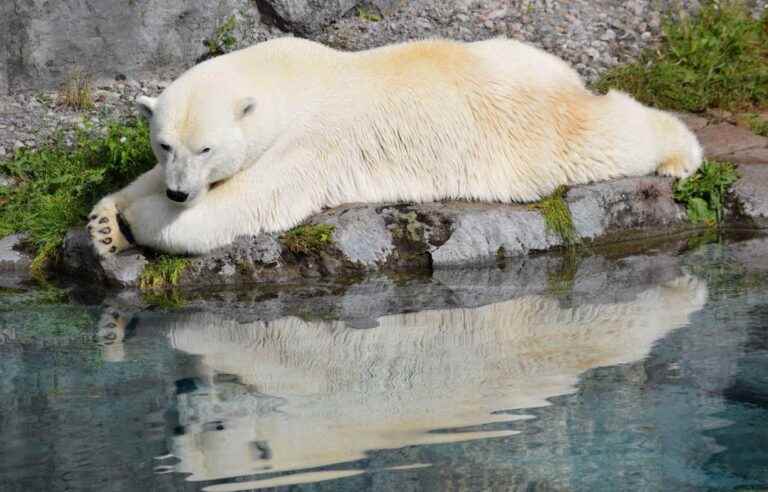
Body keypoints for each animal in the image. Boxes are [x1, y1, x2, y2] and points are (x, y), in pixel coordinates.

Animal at [88, 36, 704, 256]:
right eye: (165, 145)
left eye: (207, 150)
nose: (178, 192)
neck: (289, 75)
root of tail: (566, 75)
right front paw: (105, 221)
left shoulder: (313, 144)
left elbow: (242, 208)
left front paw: (143, 221)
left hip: (530, 128)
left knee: (603, 136)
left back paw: (680, 156)